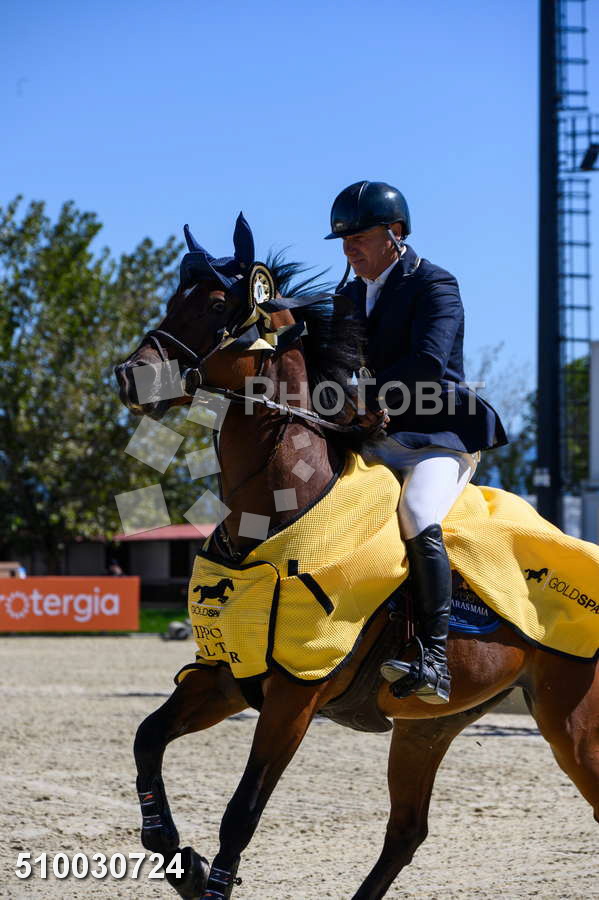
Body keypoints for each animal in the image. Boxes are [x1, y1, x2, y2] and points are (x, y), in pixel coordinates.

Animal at [115, 216, 599, 899]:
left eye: (213, 305)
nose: (130, 377)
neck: (275, 516)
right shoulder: (228, 677)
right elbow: (146, 739)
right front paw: (178, 856)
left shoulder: (295, 695)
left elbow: (241, 812)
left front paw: (207, 875)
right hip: (428, 727)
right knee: (406, 832)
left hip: (573, 723)